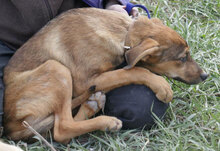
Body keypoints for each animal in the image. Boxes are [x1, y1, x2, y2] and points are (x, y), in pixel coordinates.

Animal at [3, 7, 208, 143]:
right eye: (182, 58)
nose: (205, 76)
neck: (123, 33)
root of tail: (12, 126)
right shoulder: (85, 81)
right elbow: (131, 71)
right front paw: (161, 85)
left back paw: (92, 105)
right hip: (56, 68)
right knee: (61, 130)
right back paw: (106, 121)